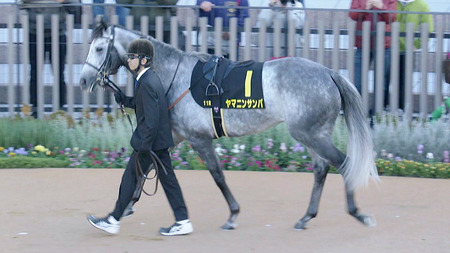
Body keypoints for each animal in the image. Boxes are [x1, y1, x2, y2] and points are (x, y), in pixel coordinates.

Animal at [79, 22, 378, 230]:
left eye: (99, 48)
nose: (83, 81)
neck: (174, 76)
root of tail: (330, 73)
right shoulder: (174, 135)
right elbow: (144, 166)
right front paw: (125, 207)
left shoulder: (199, 139)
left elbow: (217, 175)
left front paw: (232, 215)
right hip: (312, 134)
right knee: (321, 169)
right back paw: (306, 217)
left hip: (310, 133)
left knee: (342, 163)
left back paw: (358, 214)